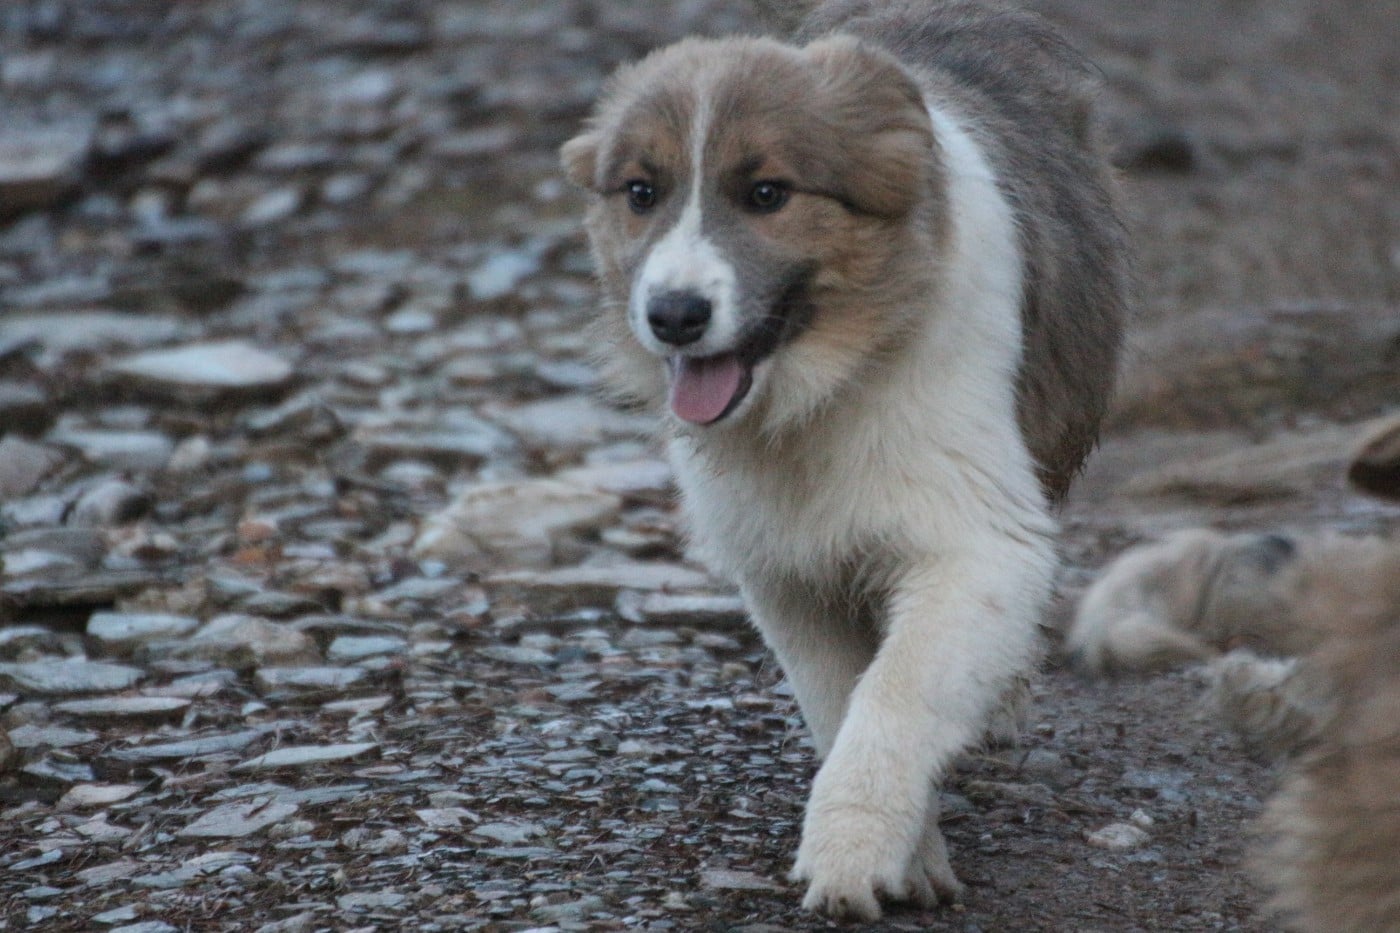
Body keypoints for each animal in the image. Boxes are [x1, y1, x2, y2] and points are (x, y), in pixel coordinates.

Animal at [562, 0, 1127, 918]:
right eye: (641, 193)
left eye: (767, 194)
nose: (674, 315)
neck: (821, 389)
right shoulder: (785, 566)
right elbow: (839, 700)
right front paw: (911, 849)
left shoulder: (972, 538)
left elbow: (897, 692)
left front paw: (852, 849)